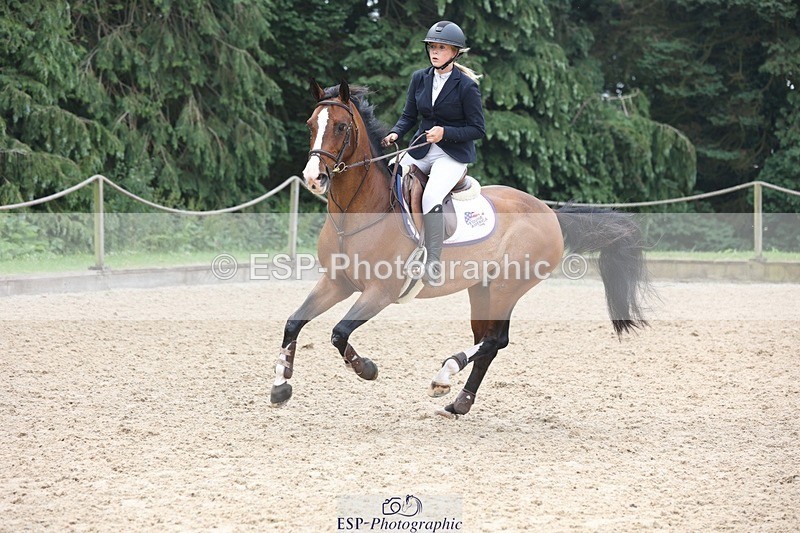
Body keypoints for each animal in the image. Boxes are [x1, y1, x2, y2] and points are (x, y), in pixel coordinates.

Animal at [270, 78, 651, 416]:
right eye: (310, 125)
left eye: (340, 126)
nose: (314, 178)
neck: (357, 213)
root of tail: (549, 212)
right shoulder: (337, 282)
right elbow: (293, 322)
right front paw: (280, 385)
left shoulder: (380, 291)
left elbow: (339, 333)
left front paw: (366, 368)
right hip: (482, 288)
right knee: (491, 342)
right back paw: (459, 402)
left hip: (506, 287)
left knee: (496, 340)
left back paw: (445, 375)